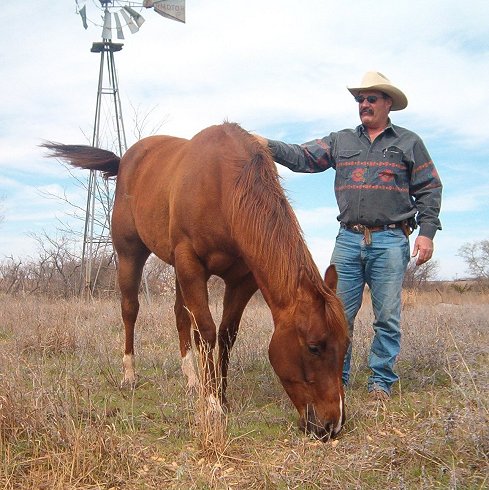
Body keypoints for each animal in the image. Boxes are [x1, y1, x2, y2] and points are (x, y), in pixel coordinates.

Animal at [42, 122, 346, 440]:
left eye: (345, 344)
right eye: (314, 347)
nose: (333, 424)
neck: (224, 183)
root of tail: (125, 160)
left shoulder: (241, 280)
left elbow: (225, 334)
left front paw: (220, 394)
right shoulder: (191, 264)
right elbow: (207, 331)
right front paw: (212, 402)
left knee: (180, 317)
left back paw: (191, 379)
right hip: (129, 254)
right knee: (130, 310)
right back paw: (129, 374)